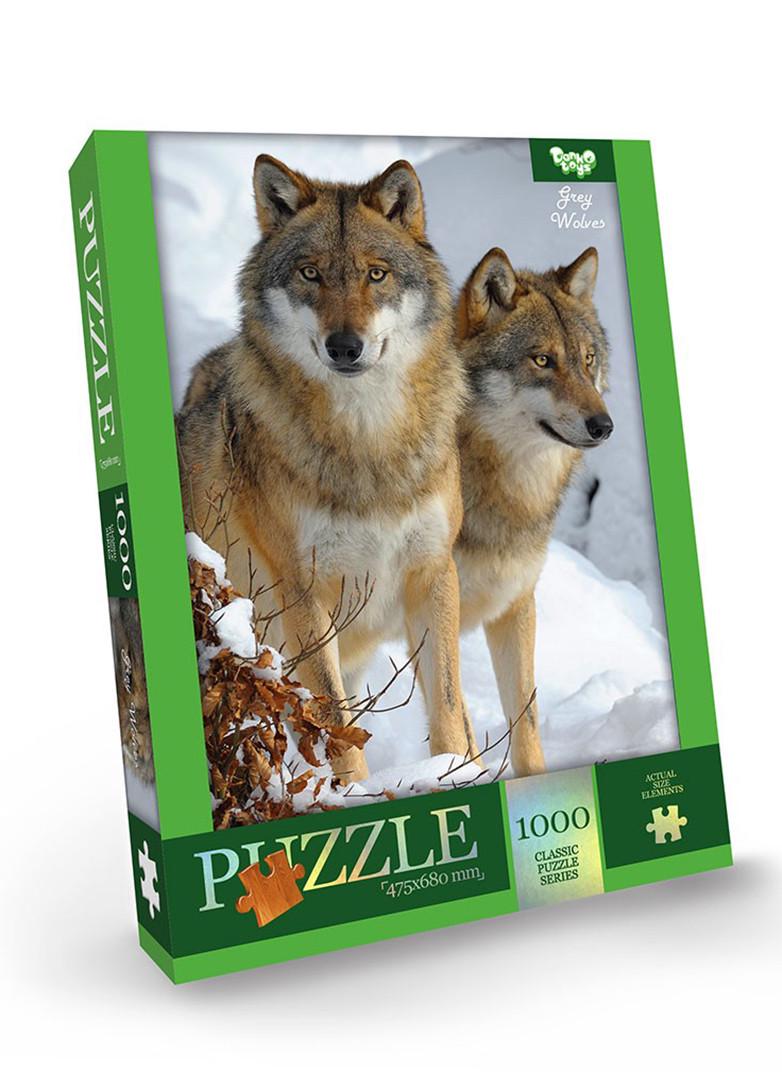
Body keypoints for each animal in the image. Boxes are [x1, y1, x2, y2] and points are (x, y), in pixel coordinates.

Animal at [177, 155, 472, 782]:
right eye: (310, 274)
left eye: (376, 275)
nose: (344, 346)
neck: (368, 443)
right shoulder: (305, 591)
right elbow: (334, 723)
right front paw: (355, 796)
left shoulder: (433, 574)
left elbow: (449, 706)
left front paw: (462, 774)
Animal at [454, 245, 614, 777]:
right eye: (543, 360)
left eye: (587, 360)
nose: (604, 425)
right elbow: (457, 721)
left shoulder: (517, 604)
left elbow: (526, 722)